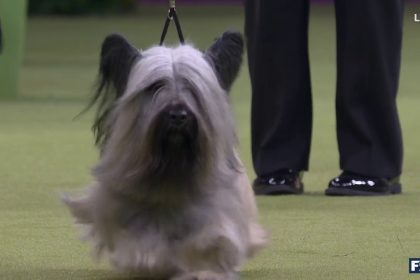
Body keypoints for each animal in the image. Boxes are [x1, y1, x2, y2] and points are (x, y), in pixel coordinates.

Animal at [62, 31, 266, 280]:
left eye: (192, 87)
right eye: (155, 86)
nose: (178, 115)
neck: (171, 161)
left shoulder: (215, 211)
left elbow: (209, 239)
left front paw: (203, 269)